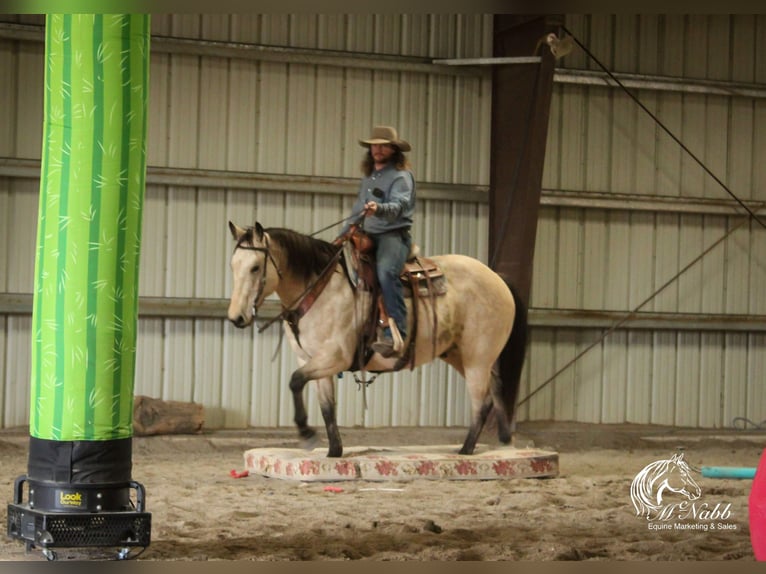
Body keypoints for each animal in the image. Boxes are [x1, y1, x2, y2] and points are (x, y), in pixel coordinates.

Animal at [226, 220, 528, 460]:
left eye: (255, 268)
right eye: (233, 266)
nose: (236, 317)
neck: (321, 289)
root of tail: (497, 277)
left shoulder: (334, 358)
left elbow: (295, 381)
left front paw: (306, 433)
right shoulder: (312, 360)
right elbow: (326, 407)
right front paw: (333, 451)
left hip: (478, 357)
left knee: (480, 400)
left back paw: (466, 450)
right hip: (459, 354)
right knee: (494, 389)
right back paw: (502, 440)